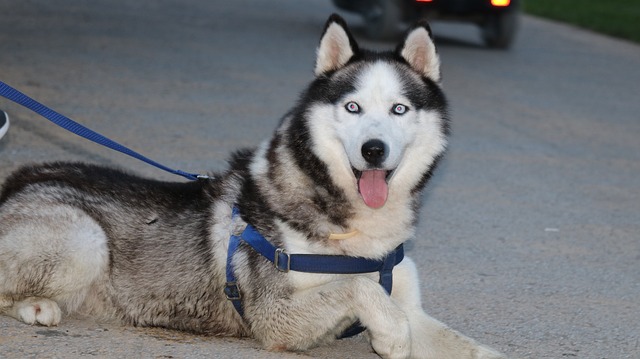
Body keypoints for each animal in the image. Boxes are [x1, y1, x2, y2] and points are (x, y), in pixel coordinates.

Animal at [0, 14, 504, 359]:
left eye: (400, 109)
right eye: (353, 107)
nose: (374, 150)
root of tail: (17, 180)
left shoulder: (412, 305)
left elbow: (458, 339)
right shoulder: (275, 318)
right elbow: (358, 288)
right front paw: (391, 335)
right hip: (86, 239)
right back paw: (36, 308)